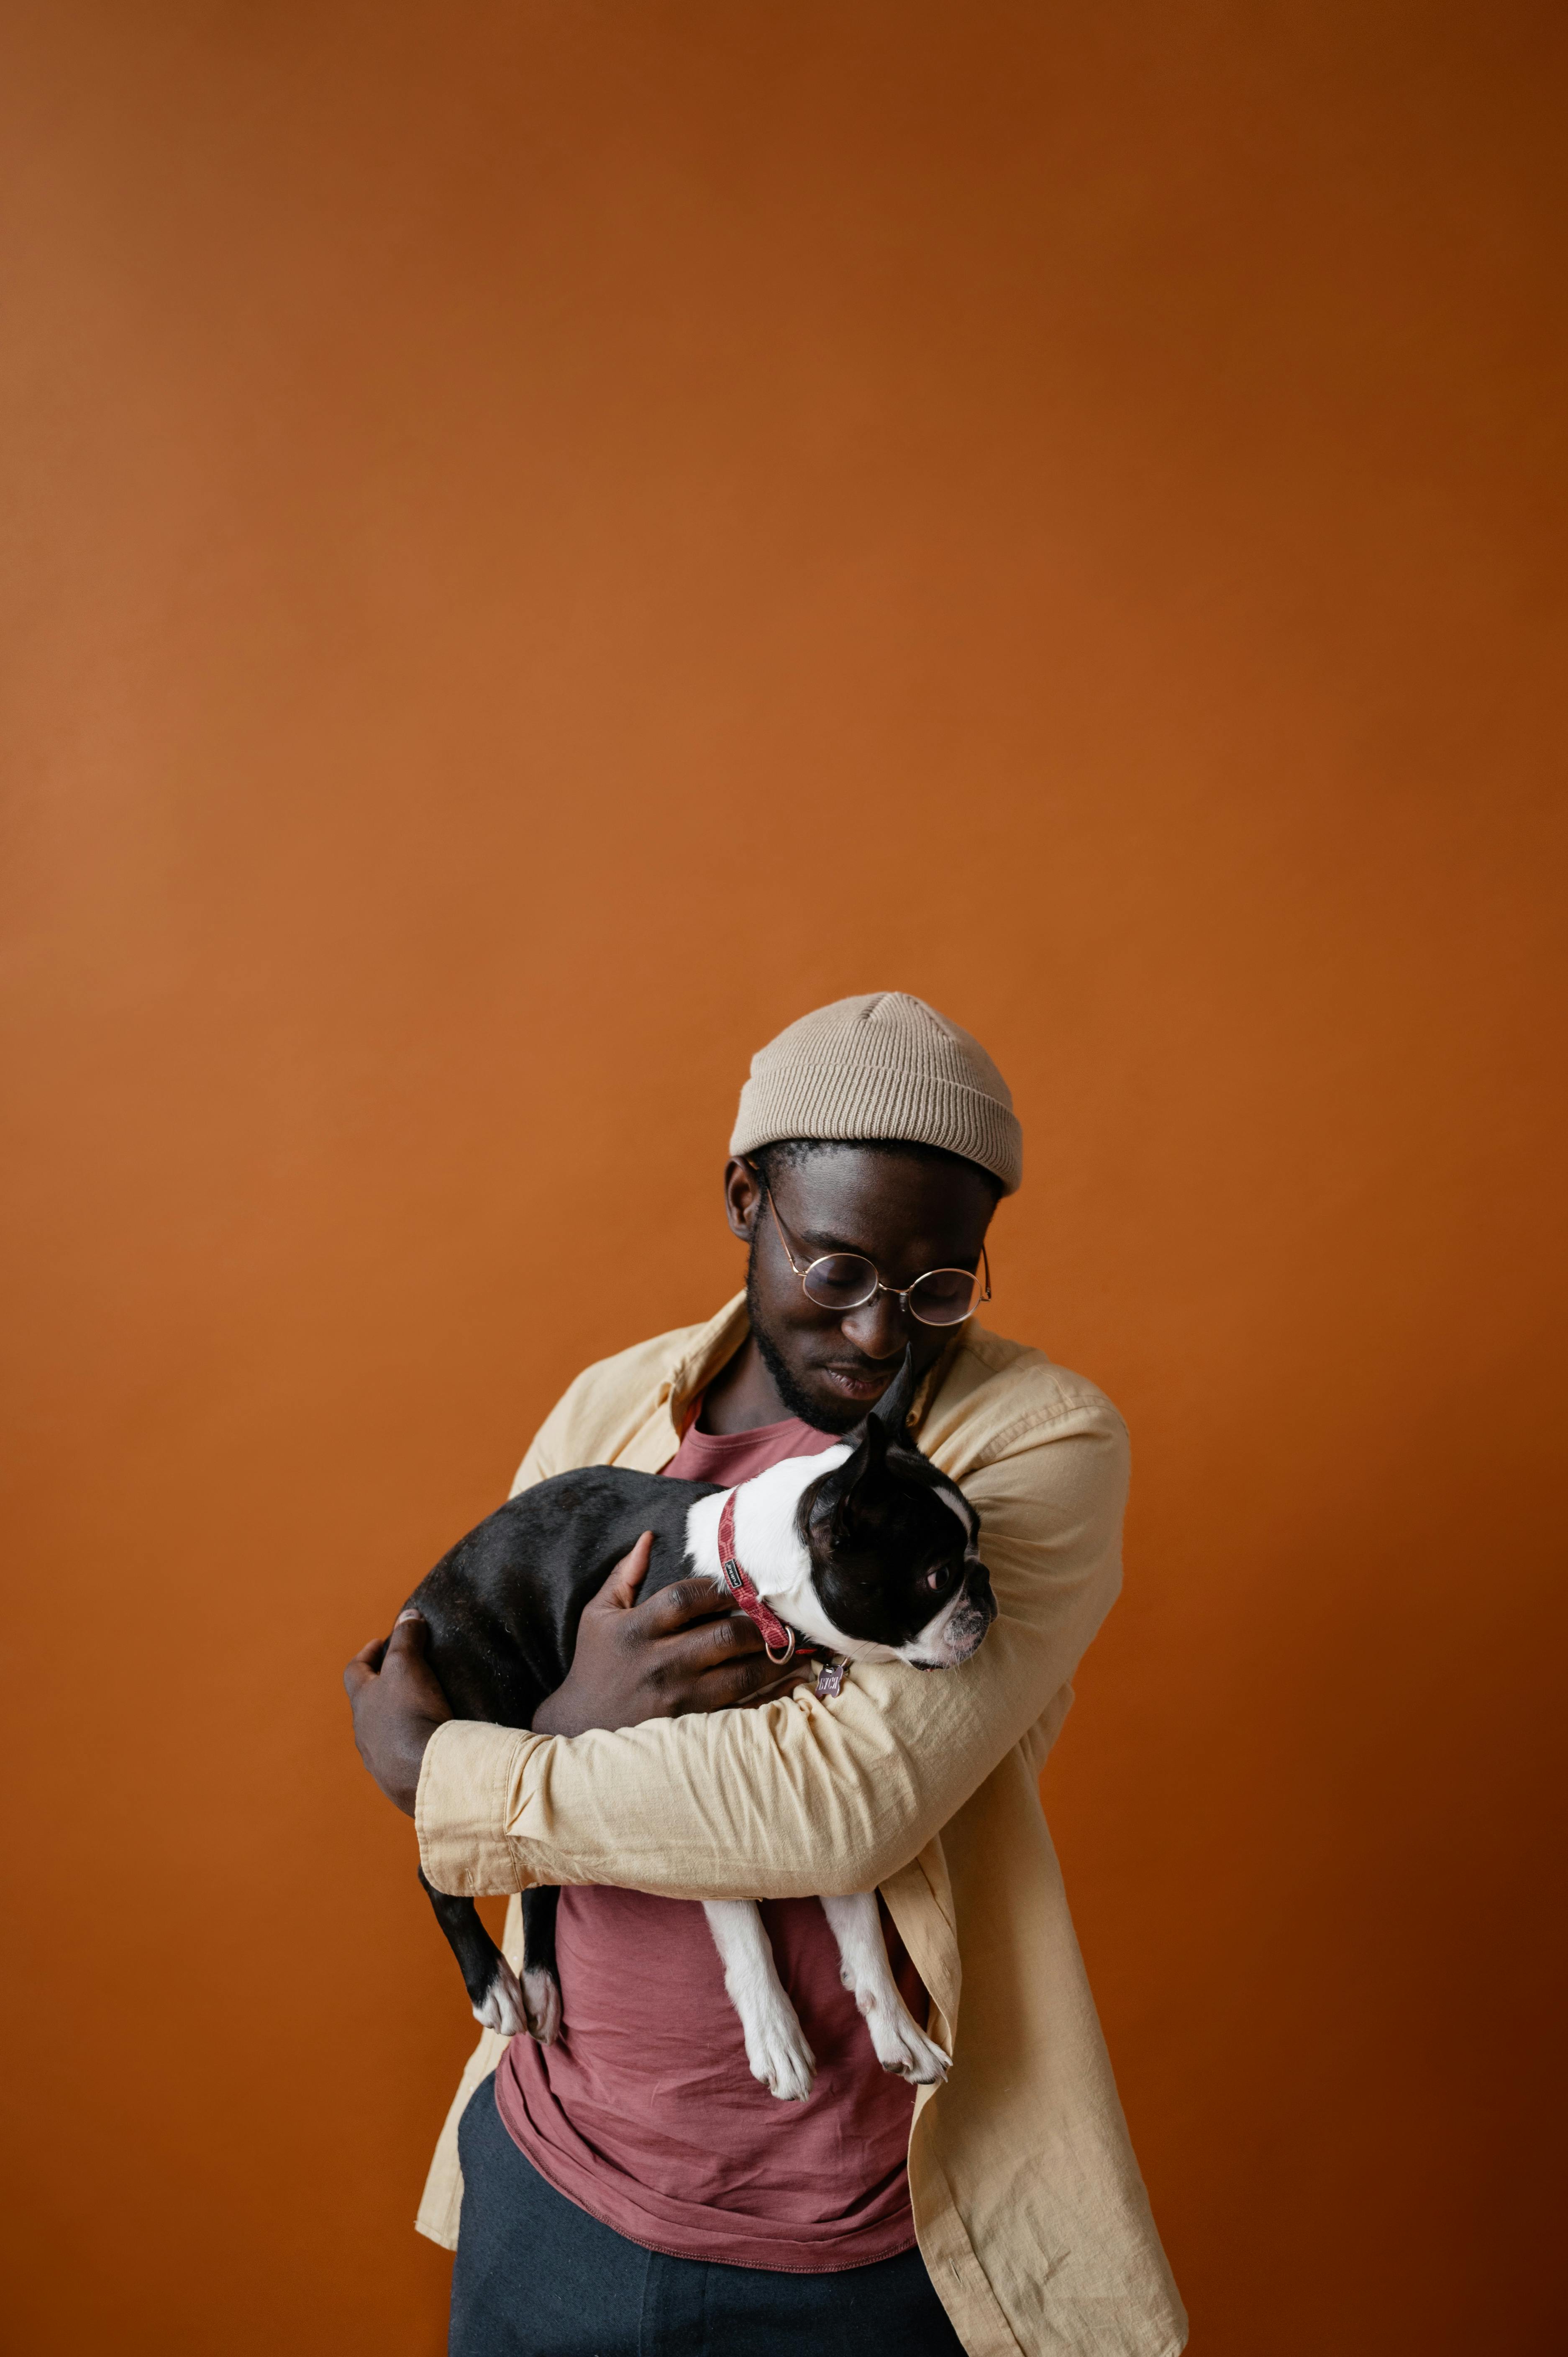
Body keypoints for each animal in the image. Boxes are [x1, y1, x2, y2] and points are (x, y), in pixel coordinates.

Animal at [403, 1357, 990, 2112]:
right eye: (938, 1576)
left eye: (978, 1544)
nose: (985, 1587)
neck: (749, 1585)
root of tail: (426, 1595)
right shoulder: (693, 1786)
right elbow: (745, 1933)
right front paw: (775, 2034)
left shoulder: (814, 1808)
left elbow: (858, 1927)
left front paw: (894, 2027)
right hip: (485, 1710)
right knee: (445, 1867)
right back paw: (494, 1985)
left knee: (536, 1872)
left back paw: (540, 1981)